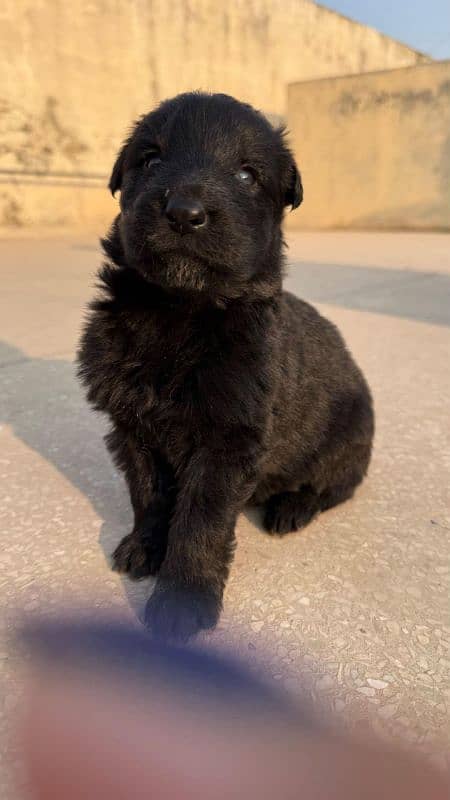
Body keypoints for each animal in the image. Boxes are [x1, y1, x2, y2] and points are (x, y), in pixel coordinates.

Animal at [79, 92, 374, 636]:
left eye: (246, 174)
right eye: (150, 159)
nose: (183, 213)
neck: (179, 310)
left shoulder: (227, 440)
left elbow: (200, 522)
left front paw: (180, 602)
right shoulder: (132, 425)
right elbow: (148, 494)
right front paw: (144, 547)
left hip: (348, 441)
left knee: (332, 486)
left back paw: (292, 508)